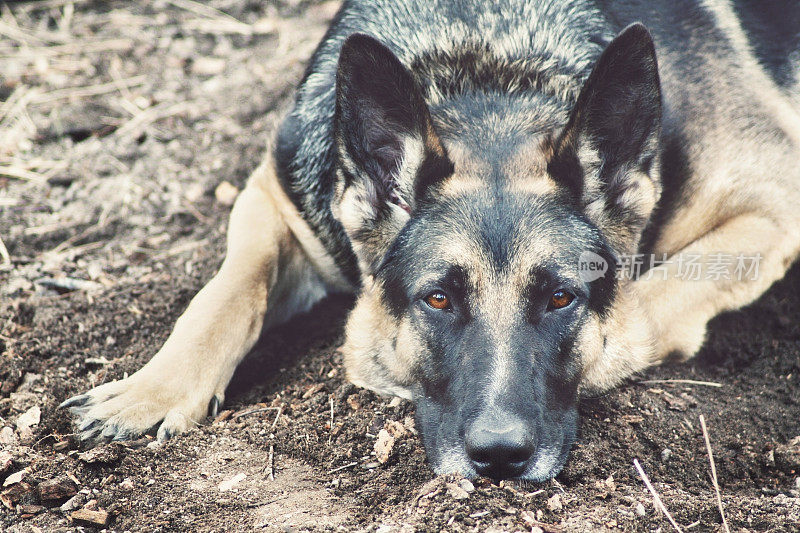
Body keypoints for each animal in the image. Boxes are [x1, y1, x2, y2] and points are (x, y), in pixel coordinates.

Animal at [61, 0, 800, 480]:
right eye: (437, 300)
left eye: (562, 298)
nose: (499, 457)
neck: (492, 72)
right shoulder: (273, 195)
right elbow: (225, 292)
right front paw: (151, 391)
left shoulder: (772, 208)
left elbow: (641, 307)